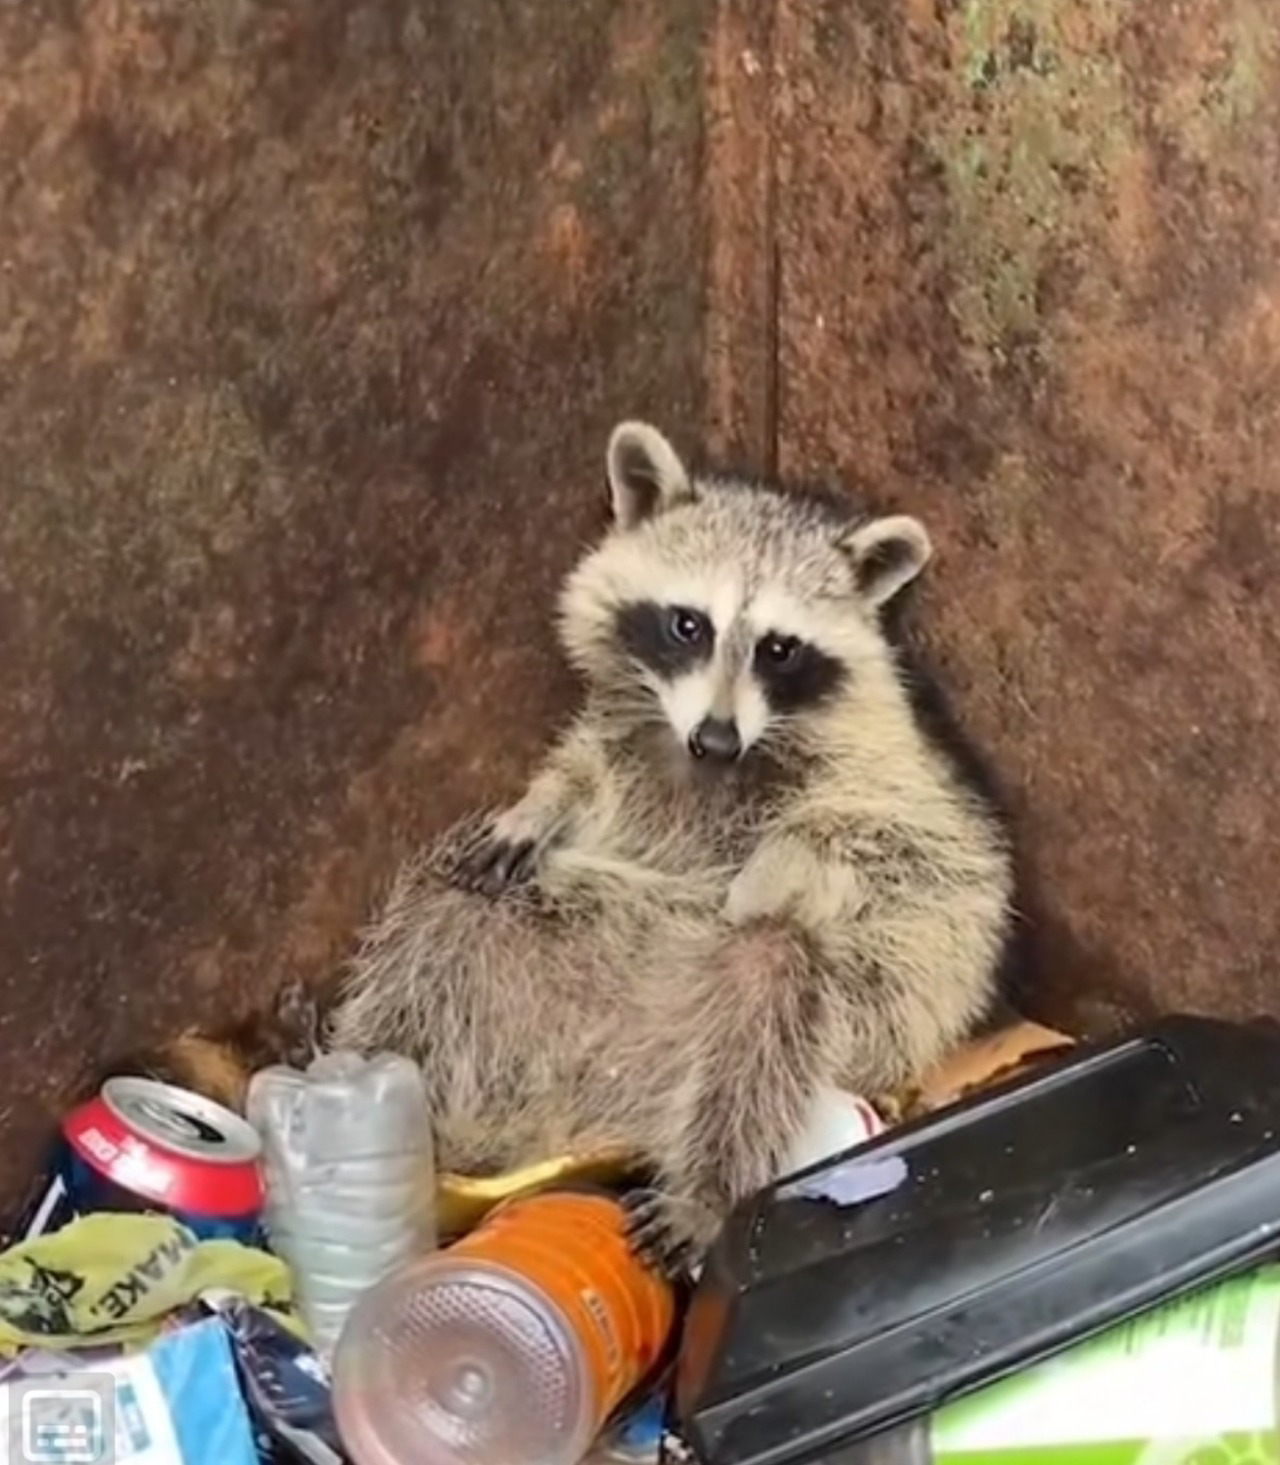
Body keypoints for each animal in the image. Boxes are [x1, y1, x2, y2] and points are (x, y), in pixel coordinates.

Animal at [323, 418, 1013, 1265]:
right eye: (690, 624)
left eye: (779, 648)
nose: (716, 737)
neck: (707, 763)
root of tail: (570, 1106)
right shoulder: (623, 739)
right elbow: (580, 777)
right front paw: (541, 802)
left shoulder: (905, 780)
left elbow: (895, 846)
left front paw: (771, 867)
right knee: (441, 910)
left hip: (828, 1019)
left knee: (767, 997)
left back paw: (706, 1183)